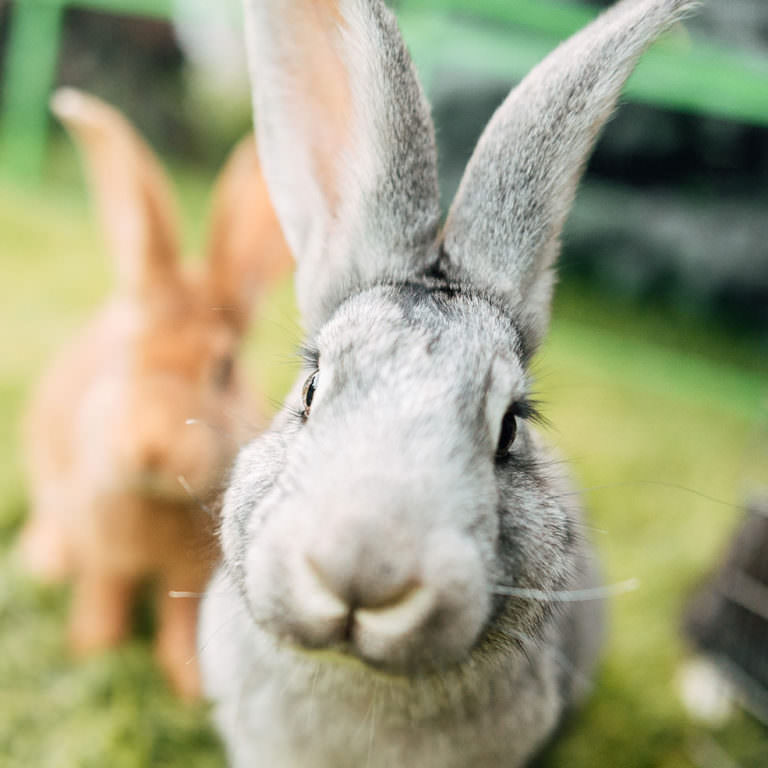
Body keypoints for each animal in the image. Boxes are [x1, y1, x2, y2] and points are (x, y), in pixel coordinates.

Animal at [20, 87, 292, 699]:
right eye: (127, 351)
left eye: (224, 369)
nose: (149, 448)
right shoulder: (103, 546)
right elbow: (104, 593)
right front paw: (93, 649)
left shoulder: (190, 573)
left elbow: (180, 618)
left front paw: (190, 687)